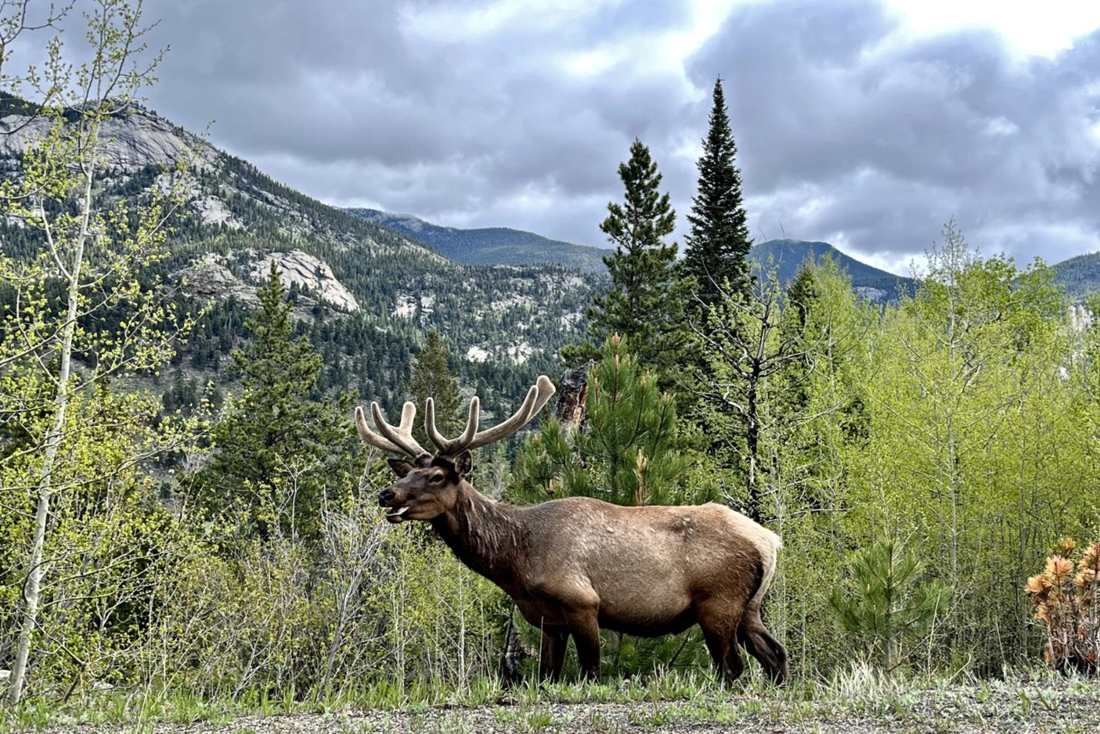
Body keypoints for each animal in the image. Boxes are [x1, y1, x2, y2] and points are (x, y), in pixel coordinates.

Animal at [355, 376, 788, 685]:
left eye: (437, 476)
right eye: (407, 472)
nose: (386, 494)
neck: (517, 560)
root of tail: (770, 542)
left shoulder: (582, 601)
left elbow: (591, 673)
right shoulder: (549, 619)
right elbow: (546, 675)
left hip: (718, 601)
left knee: (733, 668)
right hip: (749, 606)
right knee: (776, 656)